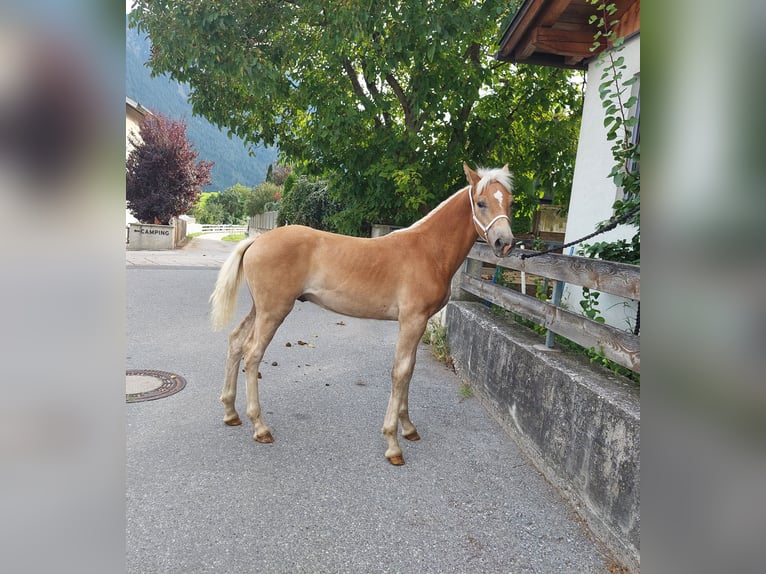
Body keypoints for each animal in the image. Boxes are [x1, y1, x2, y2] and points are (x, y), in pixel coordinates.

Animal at [210, 163, 516, 468]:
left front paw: (408, 428)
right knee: (252, 353)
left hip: (260, 309)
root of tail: (257, 240)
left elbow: (409, 370)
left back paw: (231, 412)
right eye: (481, 202)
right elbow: (400, 372)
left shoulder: (416, 323)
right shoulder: (412, 321)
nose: (505, 243)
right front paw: (393, 444)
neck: (427, 250)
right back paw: (260, 427)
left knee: (236, 342)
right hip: (273, 311)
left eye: (510, 202)